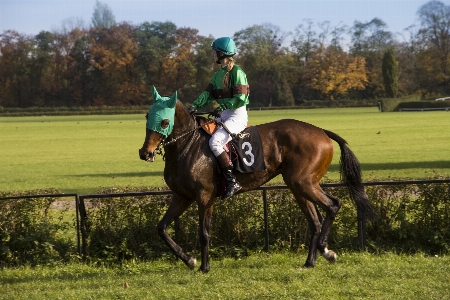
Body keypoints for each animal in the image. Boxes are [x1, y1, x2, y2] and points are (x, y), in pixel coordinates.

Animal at [139, 86, 374, 272]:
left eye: (164, 121)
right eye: (147, 117)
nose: (145, 153)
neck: (188, 145)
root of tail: (322, 132)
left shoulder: (204, 197)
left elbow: (204, 233)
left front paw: (204, 266)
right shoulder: (182, 196)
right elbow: (161, 228)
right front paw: (189, 260)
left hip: (304, 183)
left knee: (333, 204)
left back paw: (325, 249)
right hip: (298, 186)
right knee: (314, 221)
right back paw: (310, 261)